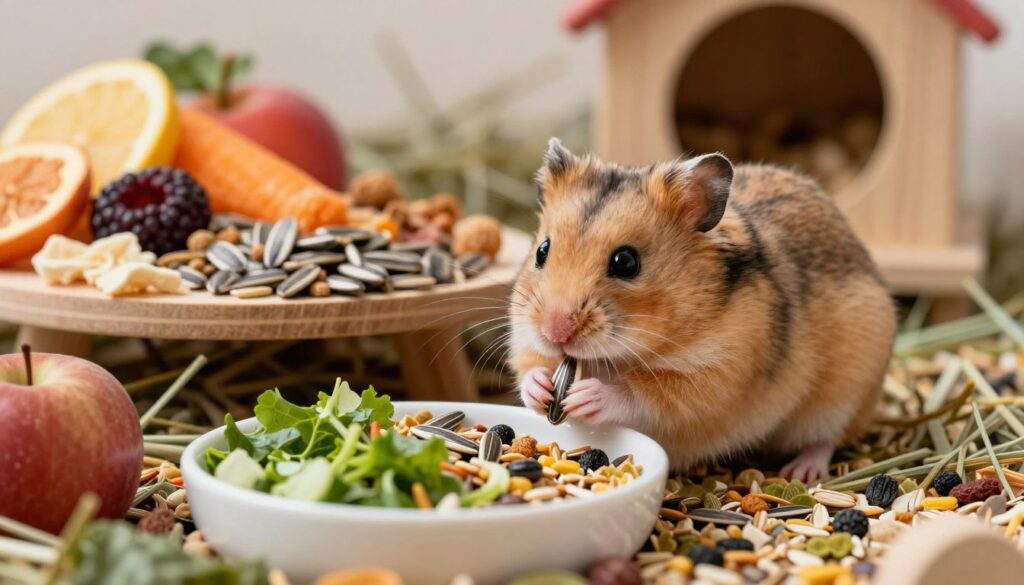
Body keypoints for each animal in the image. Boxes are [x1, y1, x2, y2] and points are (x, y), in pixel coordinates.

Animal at [509, 139, 895, 482]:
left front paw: (586, 396)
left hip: (844, 396)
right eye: (542, 250)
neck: (617, 356)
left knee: (825, 440)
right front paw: (540, 389)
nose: (554, 333)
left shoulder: (715, 378)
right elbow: (529, 366)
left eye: (626, 262)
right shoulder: (525, 339)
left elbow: (642, 396)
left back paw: (801, 472)